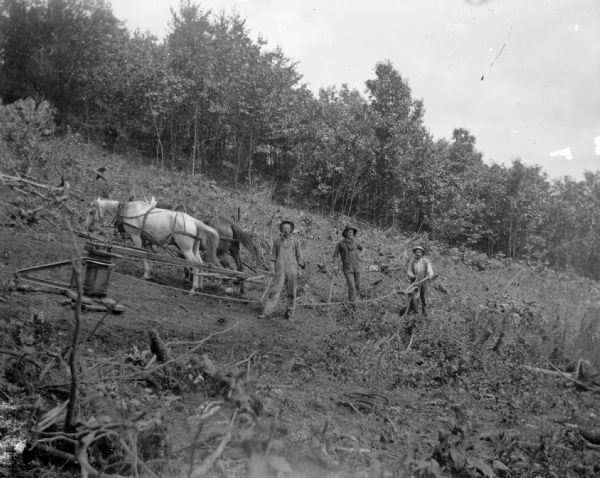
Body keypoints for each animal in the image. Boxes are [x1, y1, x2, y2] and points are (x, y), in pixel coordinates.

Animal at [86, 197, 220, 294]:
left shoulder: (136, 236)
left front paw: (146, 274)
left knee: (195, 264)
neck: (127, 211)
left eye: (91, 212)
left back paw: (193, 289)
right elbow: (148, 254)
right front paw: (150, 272)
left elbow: (142, 254)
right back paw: (200, 286)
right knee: (200, 263)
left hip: (186, 249)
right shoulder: (146, 240)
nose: (88, 227)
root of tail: (195, 221)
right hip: (195, 248)